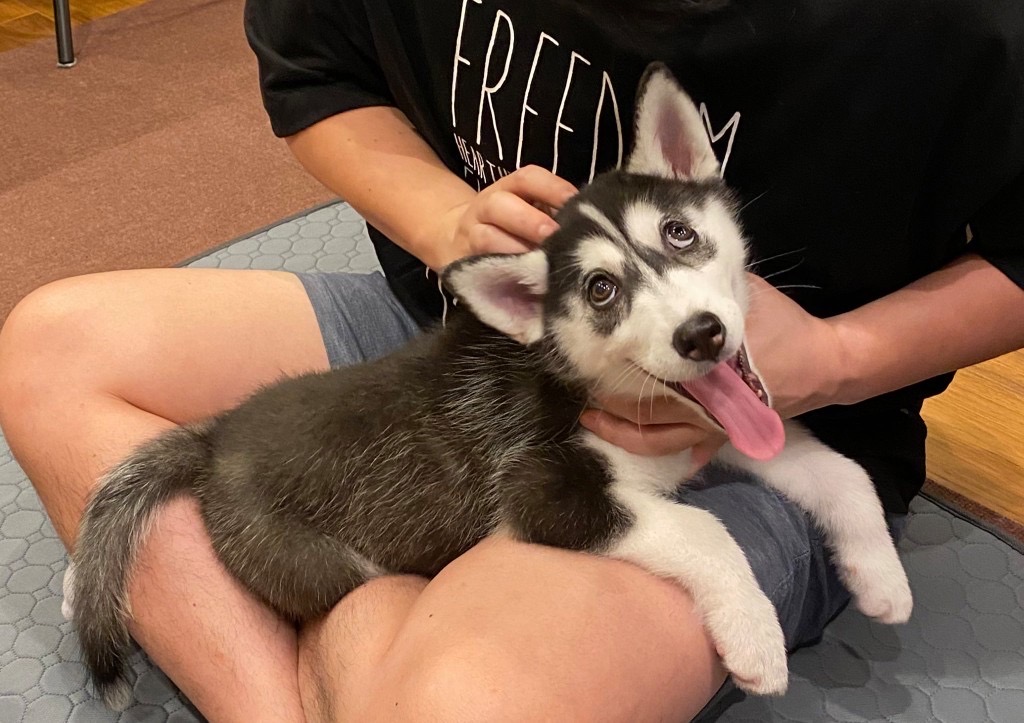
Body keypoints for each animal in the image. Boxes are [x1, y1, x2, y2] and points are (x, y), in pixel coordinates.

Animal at [72, 64, 909, 708]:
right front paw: (755, 637)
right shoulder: (546, 490)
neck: (594, 389)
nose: (700, 334)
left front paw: (881, 575)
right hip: (326, 562)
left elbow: (844, 472)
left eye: (680, 233)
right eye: (601, 291)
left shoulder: (717, 436)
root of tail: (220, 436)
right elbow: (702, 529)